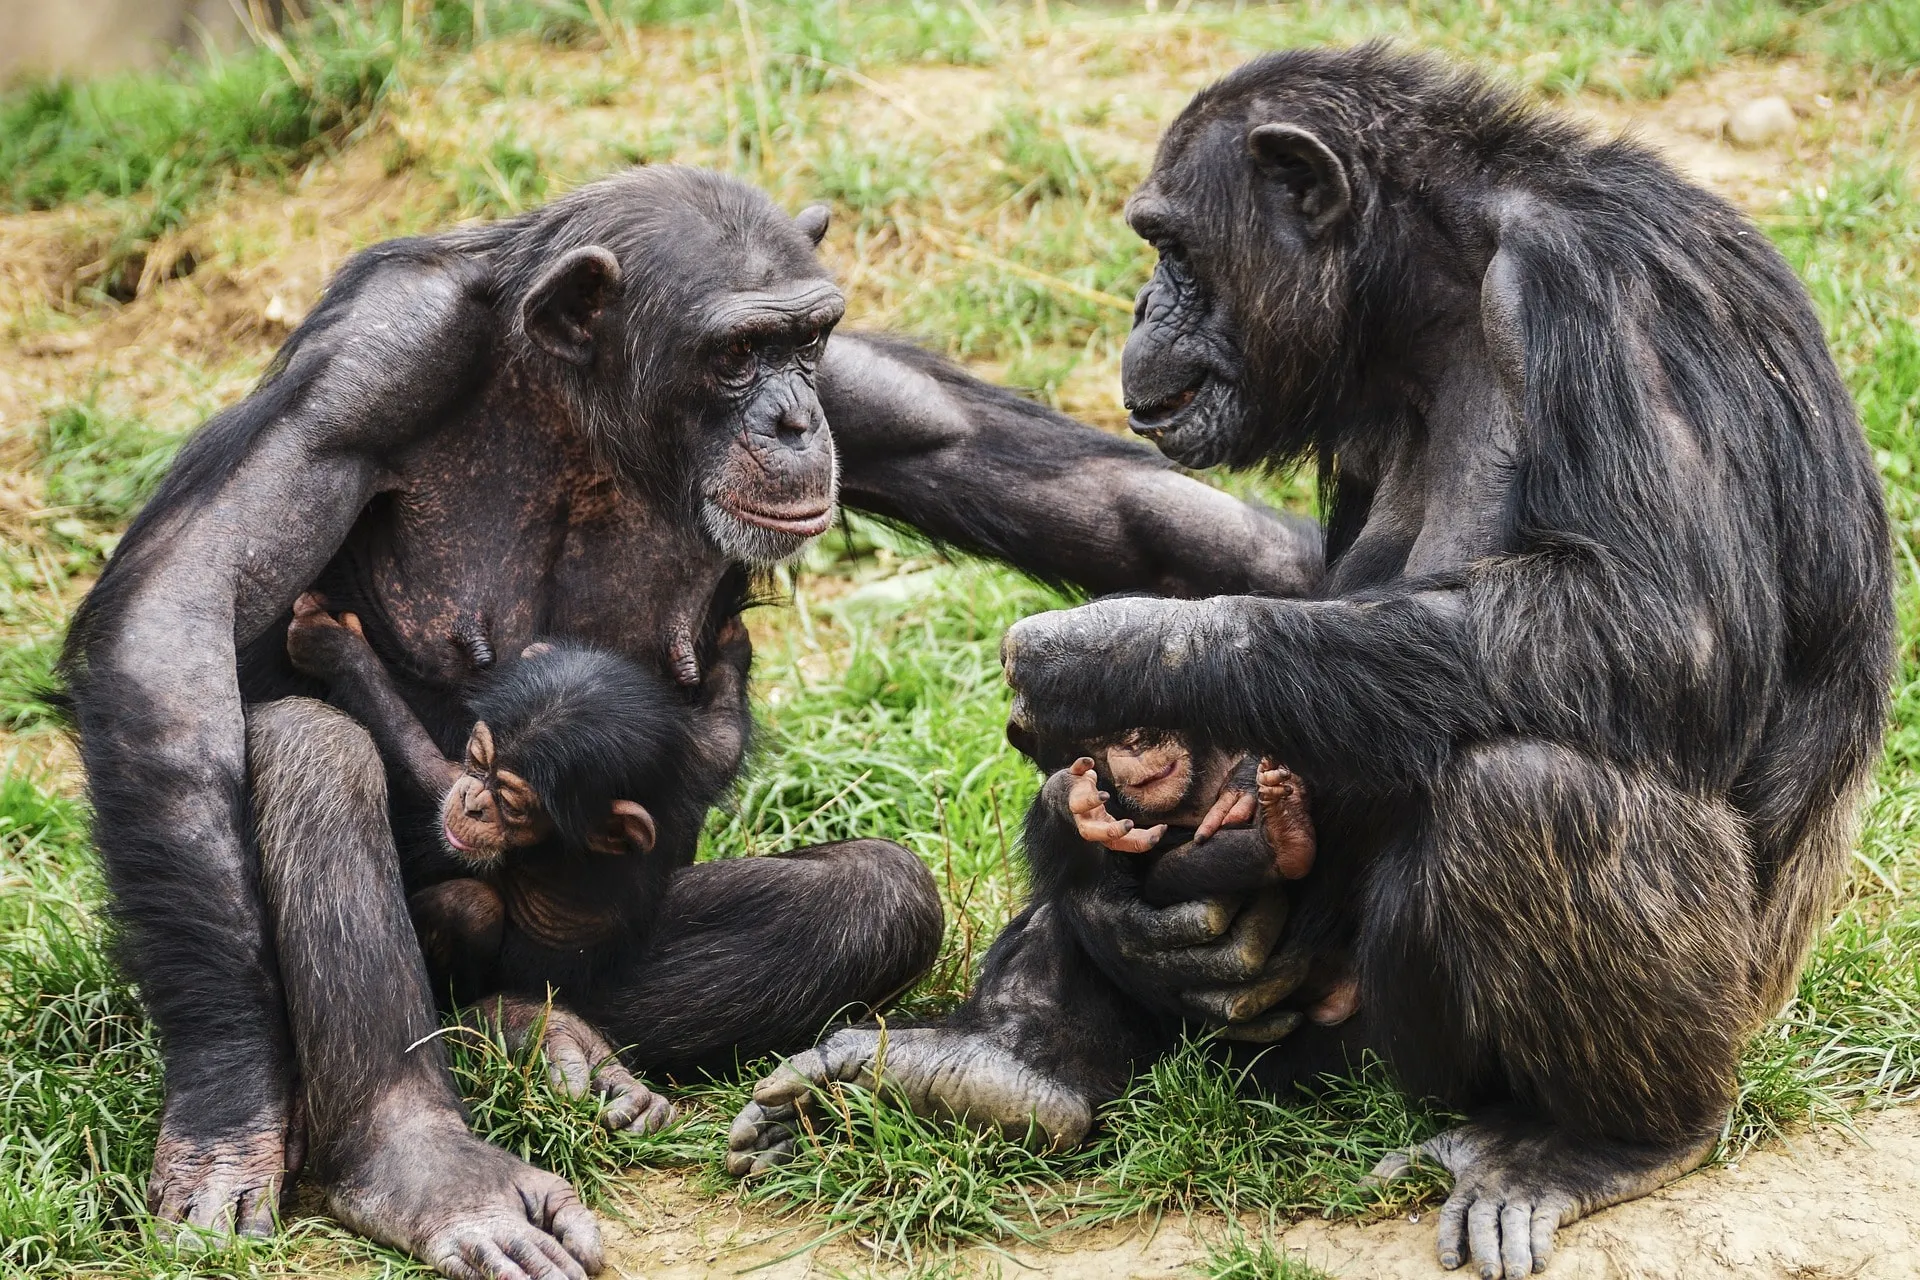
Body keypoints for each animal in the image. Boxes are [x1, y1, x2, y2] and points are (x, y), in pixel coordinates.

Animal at [60, 163, 1320, 1280]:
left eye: (806, 341)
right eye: (733, 353)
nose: (794, 415)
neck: (576, 404)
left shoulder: (870, 393)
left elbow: (1127, 512)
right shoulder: (368, 364)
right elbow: (180, 613)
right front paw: (227, 1100)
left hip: (584, 954)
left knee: (870, 896)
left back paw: (541, 1038)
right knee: (310, 752)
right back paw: (423, 1163)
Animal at [725, 50, 1896, 1280]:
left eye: (1173, 247)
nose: (1142, 303)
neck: (1439, 289)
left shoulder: (1609, 297)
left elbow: (1665, 622)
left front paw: (1102, 656)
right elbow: (1302, 591)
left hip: (1414, 1050)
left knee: (1531, 790)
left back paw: (1598, 1140)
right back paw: (997, 1066)